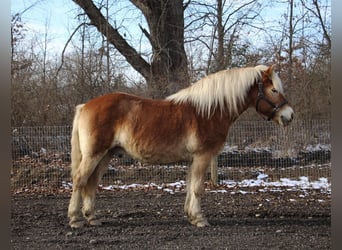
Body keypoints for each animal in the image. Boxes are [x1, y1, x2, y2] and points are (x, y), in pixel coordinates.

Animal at [67, 65, 294, 229]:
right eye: (274, 90)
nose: (289, 115)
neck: (209, 111)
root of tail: (85, 106)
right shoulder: (203, 156)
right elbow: (198, 188)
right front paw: (200, 219)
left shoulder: (194, 159)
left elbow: (190, 186)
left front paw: (191, 216)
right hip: (94, 154)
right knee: (79, 180)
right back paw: (75, 219)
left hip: (105, 155)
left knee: (92, 183)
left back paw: (92, 217)